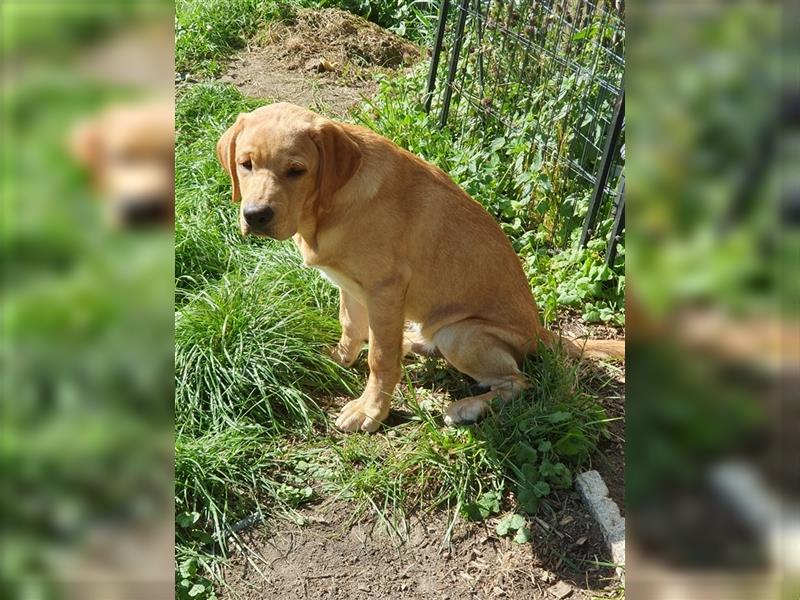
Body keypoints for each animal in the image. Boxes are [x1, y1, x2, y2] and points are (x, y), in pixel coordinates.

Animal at [219, 102, 624, 432]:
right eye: (245, 164)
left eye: (296, 170)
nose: (255, 216)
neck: (327, 208)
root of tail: (539, 331)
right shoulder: (350, 286)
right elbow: (351, 326)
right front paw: (339, 359)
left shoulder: (384, 289)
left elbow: (381, 359)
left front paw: (371, 411)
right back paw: (413, 343)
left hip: (461, 334)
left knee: (518, 382)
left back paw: (466, 407)